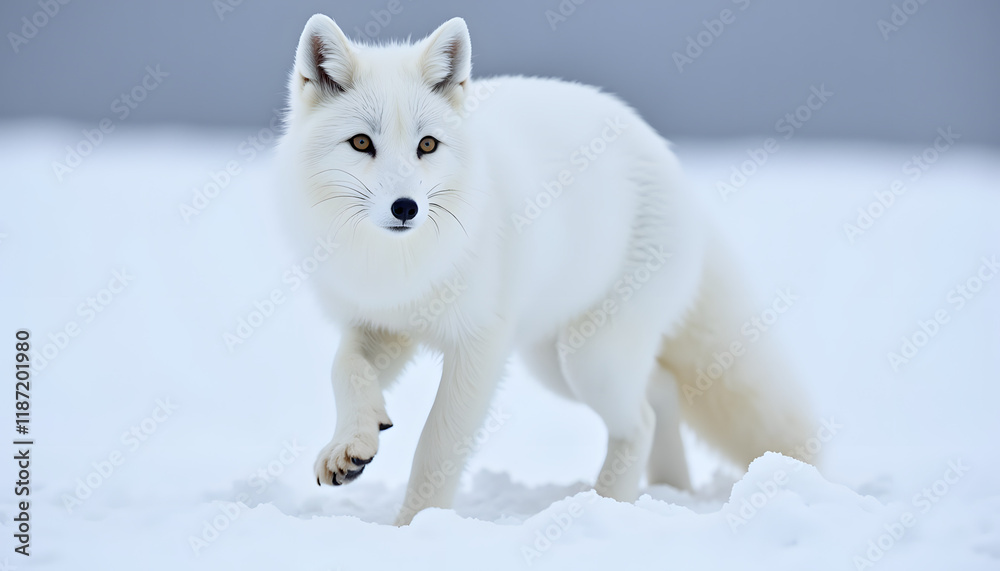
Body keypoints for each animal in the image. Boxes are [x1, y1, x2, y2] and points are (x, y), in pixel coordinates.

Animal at [277, 14, 816, 526]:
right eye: (361, 142)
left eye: (427, 146)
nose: (406, 207)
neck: (402, 266)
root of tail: (668, 160)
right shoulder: (384, 326)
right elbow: (344, 370)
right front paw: (352, 445)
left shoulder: (480, 345)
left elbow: (438, 445)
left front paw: (414, 526)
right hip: (554, 362)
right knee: (661, 391)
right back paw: (671, 490)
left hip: (586, 360)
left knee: (640, 419)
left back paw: (610, 506)